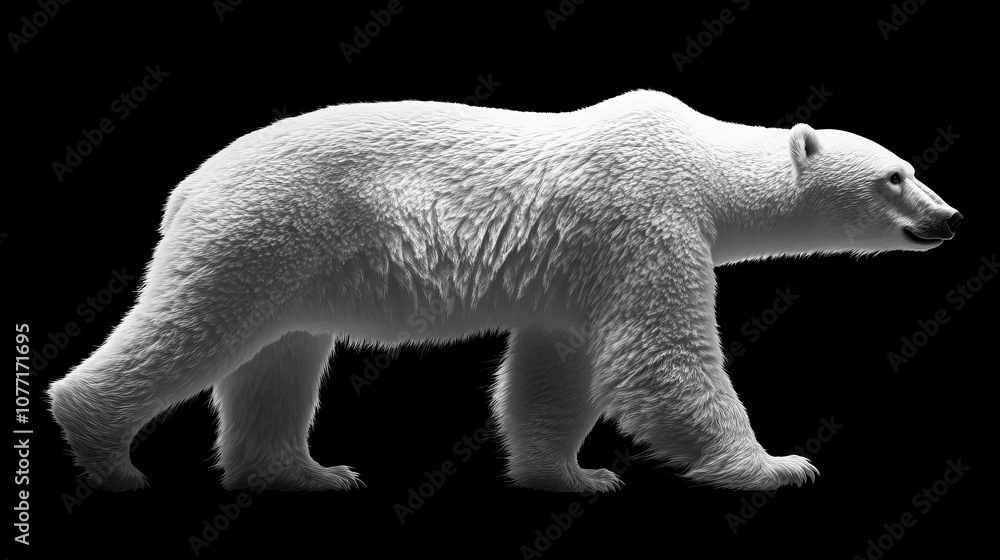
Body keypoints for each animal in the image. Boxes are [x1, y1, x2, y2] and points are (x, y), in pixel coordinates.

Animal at [46, 89, 962, 493]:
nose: (950, 217)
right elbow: (662, 355)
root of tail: (187, 183)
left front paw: (573, 476)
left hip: (300, 262)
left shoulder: (578, 270)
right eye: (895, 175)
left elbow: (555, 371)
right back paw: (106, 451)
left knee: (279, 359)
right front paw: (776, 464)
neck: (699, 159)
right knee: (199, 325)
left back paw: (308, 473)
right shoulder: (645, 220)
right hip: (271, 227)